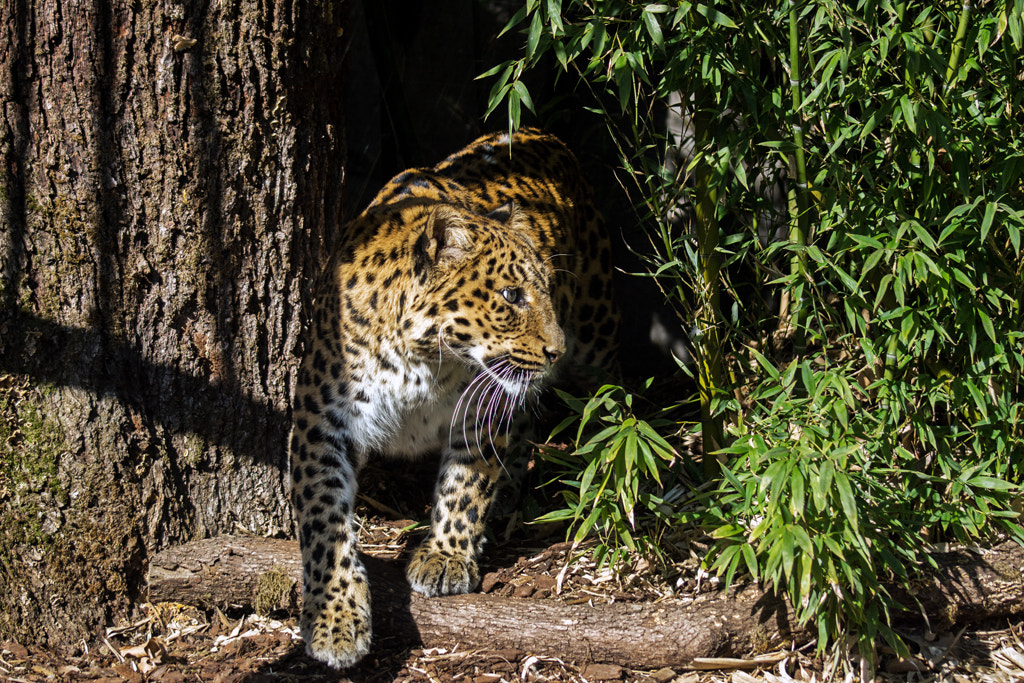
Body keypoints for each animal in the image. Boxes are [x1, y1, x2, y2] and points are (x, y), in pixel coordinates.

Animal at [292, 126, 618, 667]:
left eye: (545, 290)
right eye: (511, 296)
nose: (556, 350)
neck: (417, 359)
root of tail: (536, 130)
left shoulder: (481, 408)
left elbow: (466, 483)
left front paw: (444, 556)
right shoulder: (321, 422)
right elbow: (325, 521)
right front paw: (334, 618)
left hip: (596, 341)